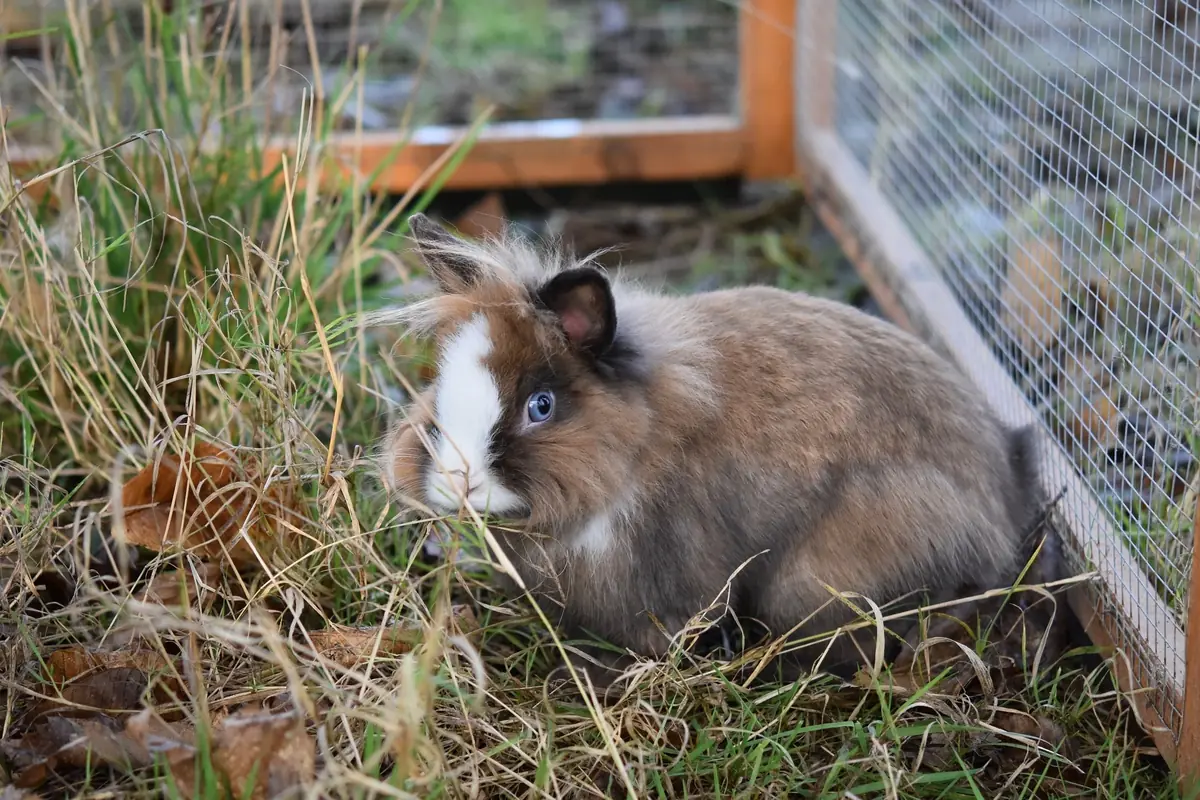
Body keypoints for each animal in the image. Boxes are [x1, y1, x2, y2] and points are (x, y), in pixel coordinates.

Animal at [376, 213, 1060, 689]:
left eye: (540, 406)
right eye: (439, 381)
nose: (456, 482)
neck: (637, 442)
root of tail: (1006, 509)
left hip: (820, 582)